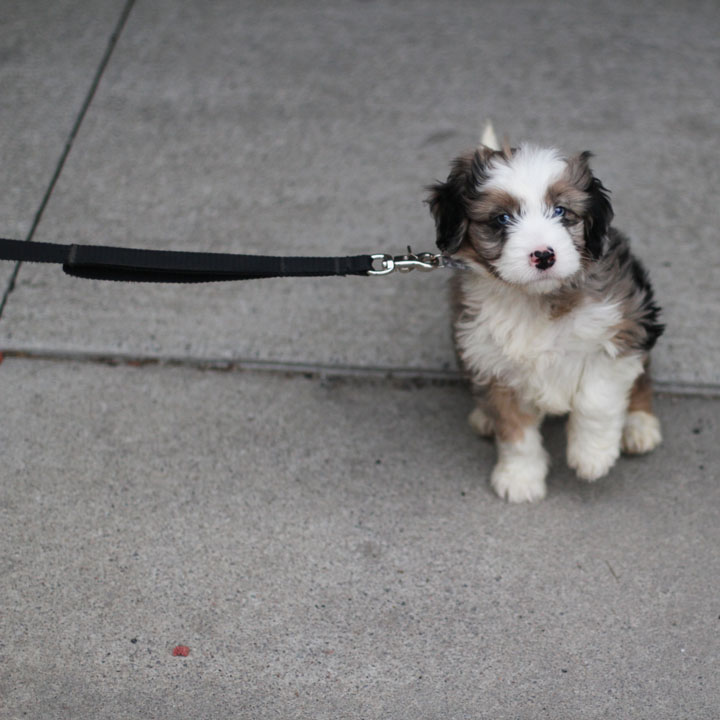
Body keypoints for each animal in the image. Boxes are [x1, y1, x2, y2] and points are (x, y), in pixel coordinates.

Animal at [428, 141, 664, 500]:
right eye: (501, 218)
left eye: (561, 211)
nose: (543, 255)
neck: (536, 298)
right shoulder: (492, 358)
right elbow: (515, 429)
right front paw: (520, 478)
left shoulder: (619, 330)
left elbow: (596, 400)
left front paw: (592, 457)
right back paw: (484, 417)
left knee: (642, 379)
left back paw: (638, 425)